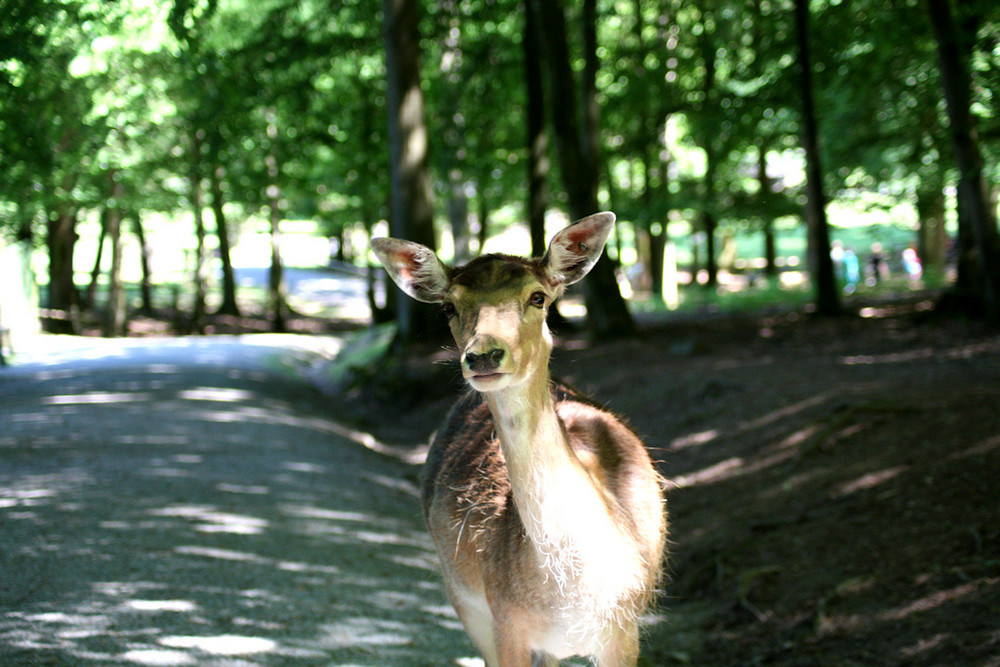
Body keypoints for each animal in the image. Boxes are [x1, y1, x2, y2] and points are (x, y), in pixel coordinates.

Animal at [372, 211, 668, 664]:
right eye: (448, 306)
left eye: (538, 297)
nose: (483, 355)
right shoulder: (505, 621)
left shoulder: (625, 629)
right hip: (462, 598)